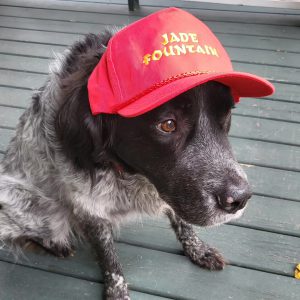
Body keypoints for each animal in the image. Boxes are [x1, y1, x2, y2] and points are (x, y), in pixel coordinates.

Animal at [0, 6, 274, 298]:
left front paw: (198, 250)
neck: (131, 174)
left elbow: (182, 221)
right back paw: (54, 243)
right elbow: (109, 257)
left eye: (225, 116)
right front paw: (117, 291)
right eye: (168, 124)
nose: (239, 200)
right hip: (23, 198)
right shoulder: (89, 206)